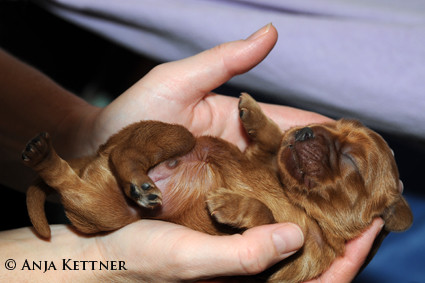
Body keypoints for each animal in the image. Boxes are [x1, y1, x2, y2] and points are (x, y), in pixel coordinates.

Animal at [23, 94, 410, 282]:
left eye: (352, 161)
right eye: (328, 125)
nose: (304, 131)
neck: (296, 198)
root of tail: (94, 157)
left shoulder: (294, 260)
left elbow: (267, 214)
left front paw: (229, 205)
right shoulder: (264, 157)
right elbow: (271, 141)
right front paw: (254, 112)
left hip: (105, 209)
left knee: (77, 186)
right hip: (173, 136)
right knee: (126, 153)